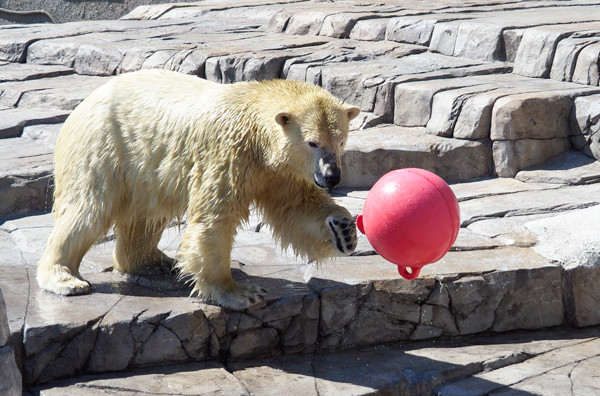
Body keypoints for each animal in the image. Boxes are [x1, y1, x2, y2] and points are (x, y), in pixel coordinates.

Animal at [37, 68, 360, 310]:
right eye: (313, 142)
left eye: (341, 141)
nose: (332, 177)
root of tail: (85, 102)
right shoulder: (229, 153)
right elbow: (214, 218)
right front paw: (238, 292)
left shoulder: (276, 171)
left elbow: (294, 206)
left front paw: (343, 229)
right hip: (105, 145)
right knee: (88, 210)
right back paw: (65, 279)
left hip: (144, 169)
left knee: (146, 214)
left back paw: (154, 261)